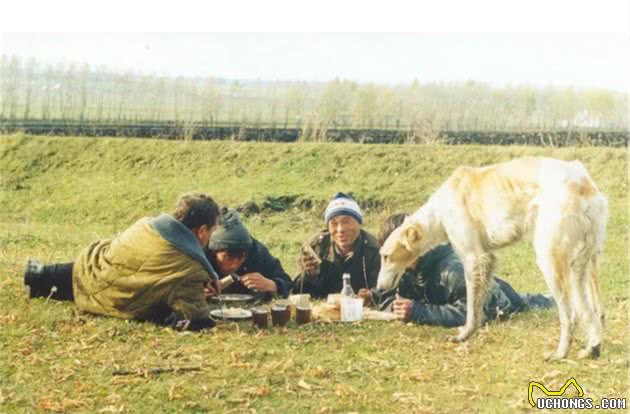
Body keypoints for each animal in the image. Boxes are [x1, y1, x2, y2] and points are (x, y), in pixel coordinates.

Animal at [378, 156, 608, 360]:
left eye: (386, 256)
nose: (379, 289)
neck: (440, 210)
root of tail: (583, 183)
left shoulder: (473, 257)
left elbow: (471, 306)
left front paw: (464, 334)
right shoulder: (487, 259)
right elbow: (480, 302)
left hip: (551, 259)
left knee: (571, 315)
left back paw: (561, 353)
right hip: (582, 265)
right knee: (593, 311)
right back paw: (592, 347)